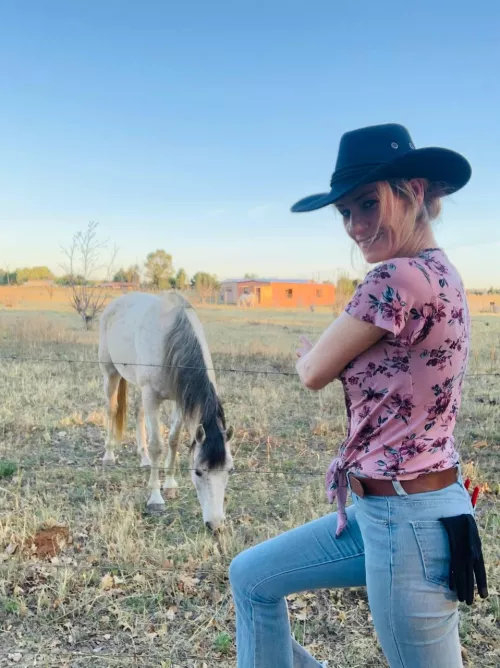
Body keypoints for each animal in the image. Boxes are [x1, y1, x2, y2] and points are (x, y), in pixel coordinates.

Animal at [98, 291, 234, 531]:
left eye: (229, 470)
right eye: (198, 471)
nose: (215, 525)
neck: (171, 339)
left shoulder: (180, 400)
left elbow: (173, 440)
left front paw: (169, 485)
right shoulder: (152, 396)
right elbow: (157, 446)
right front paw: (155, 499)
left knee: (138, 413)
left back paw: (143, 459)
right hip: (111, 374)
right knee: (112, 410)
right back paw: (109, 455)